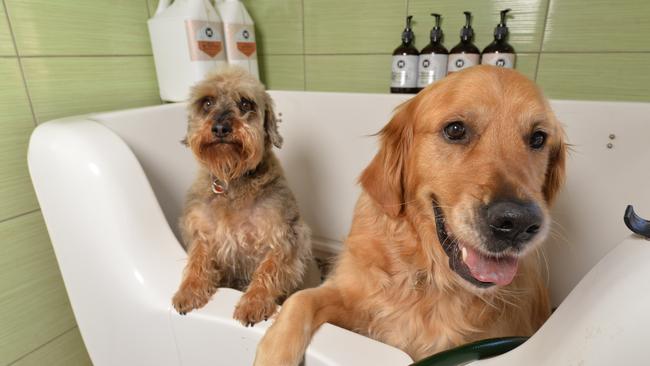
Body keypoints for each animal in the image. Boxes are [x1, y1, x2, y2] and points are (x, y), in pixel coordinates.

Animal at [170, 66, 312, 326]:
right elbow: (197, 260)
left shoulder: (283, 236)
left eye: (245, 103)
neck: (231, 183)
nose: (220, 128)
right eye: (207, 102)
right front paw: (189, 290)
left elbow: (268, 269)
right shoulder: (202, 232)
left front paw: (253, 301)